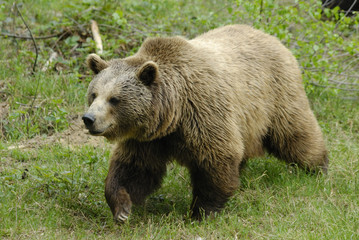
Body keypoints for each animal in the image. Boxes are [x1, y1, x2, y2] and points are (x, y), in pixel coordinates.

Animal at [82, 24, 330, 221]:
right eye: (94, 94)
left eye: (115, 99)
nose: (88, 119)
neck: (172, 114)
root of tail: (272, 38)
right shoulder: (149, 139)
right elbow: (134, 168)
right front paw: (122, 208)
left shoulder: (203, 112)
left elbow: (216, 159)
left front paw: (200, 212)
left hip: (275, 96)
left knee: (295, 134)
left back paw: (319, 168)